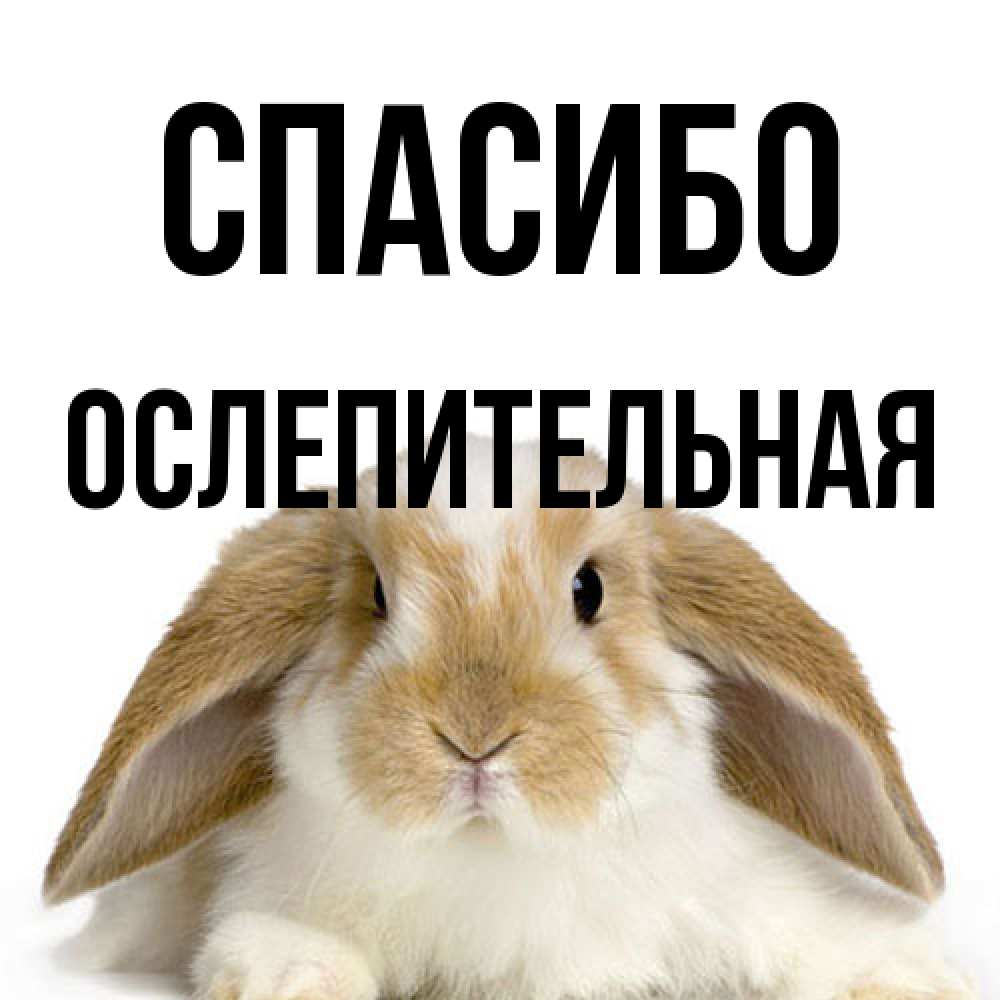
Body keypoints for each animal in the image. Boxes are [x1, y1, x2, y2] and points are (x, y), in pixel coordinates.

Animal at [45, 436, 975, 1000]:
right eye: (375, 596)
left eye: (589, 589)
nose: (475, 737)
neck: (495, 857)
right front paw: (291, 976)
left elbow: (817, 939)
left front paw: (909, 978)